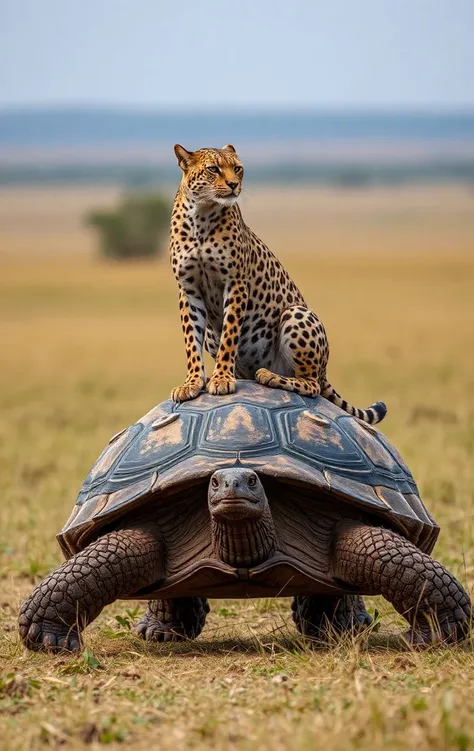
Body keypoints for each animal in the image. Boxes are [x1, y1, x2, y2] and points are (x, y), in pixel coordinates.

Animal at [168, 142, 386, 424]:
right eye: (213, 169)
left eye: (238, 168)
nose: (233, 185)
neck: (201, 215)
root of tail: (324, 369)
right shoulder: (188, 289)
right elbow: (191, 340)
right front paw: (193, 382)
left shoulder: (235, 283)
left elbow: (230, 336)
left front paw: (222, 378)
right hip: (214, 338)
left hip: (296, 313)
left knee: (311, 384)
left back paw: (269, 375)